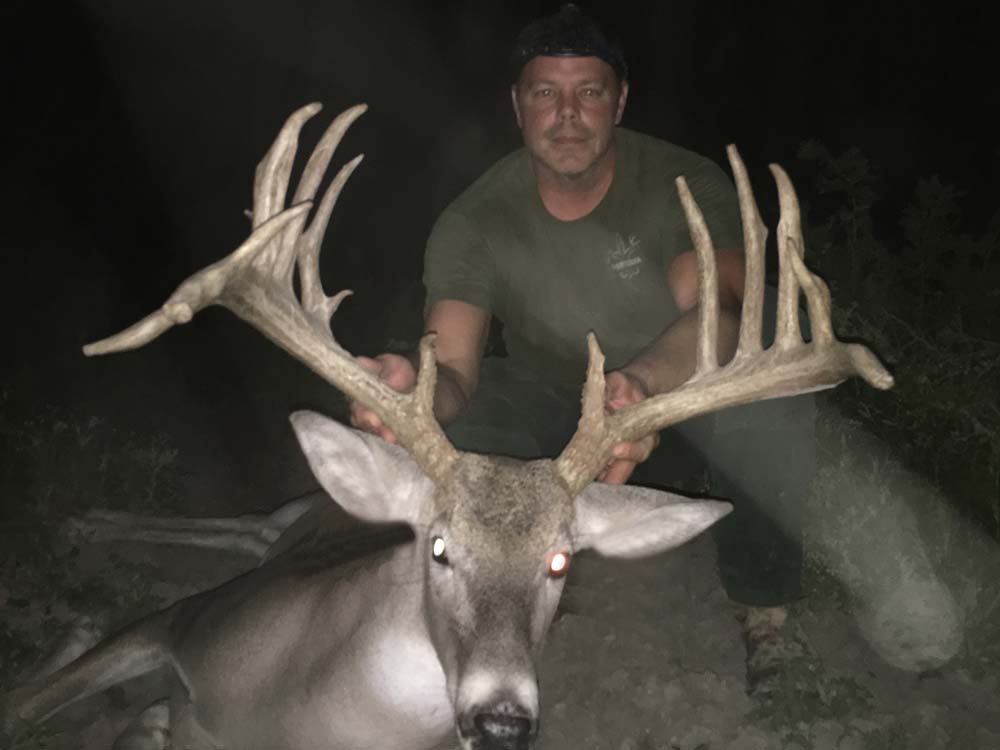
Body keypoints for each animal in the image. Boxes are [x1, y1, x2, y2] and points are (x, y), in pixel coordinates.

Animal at [0, 102, 893, 750]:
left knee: (252, 528)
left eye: (562, 562)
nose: (501, 720)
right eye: (436, 547)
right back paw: (80, 528)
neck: (299, 717)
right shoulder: (178, 623)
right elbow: (27, 705)